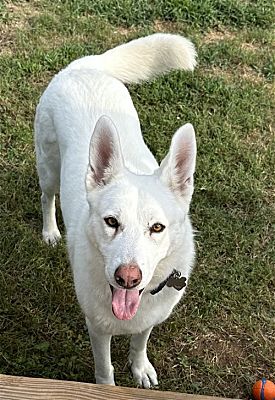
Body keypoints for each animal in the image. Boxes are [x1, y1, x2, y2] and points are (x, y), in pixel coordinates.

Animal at [34, 33, 197, 388]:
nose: (128, 278)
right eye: (111, 222)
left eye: (157, 228)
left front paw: (140, 368)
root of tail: (84, 66)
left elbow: (140, 342)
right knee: (46, 197)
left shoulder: (148, 317)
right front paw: (107, 387)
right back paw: (50, 231)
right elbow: (105, 370)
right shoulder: (97, 327)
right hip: (49, 167)